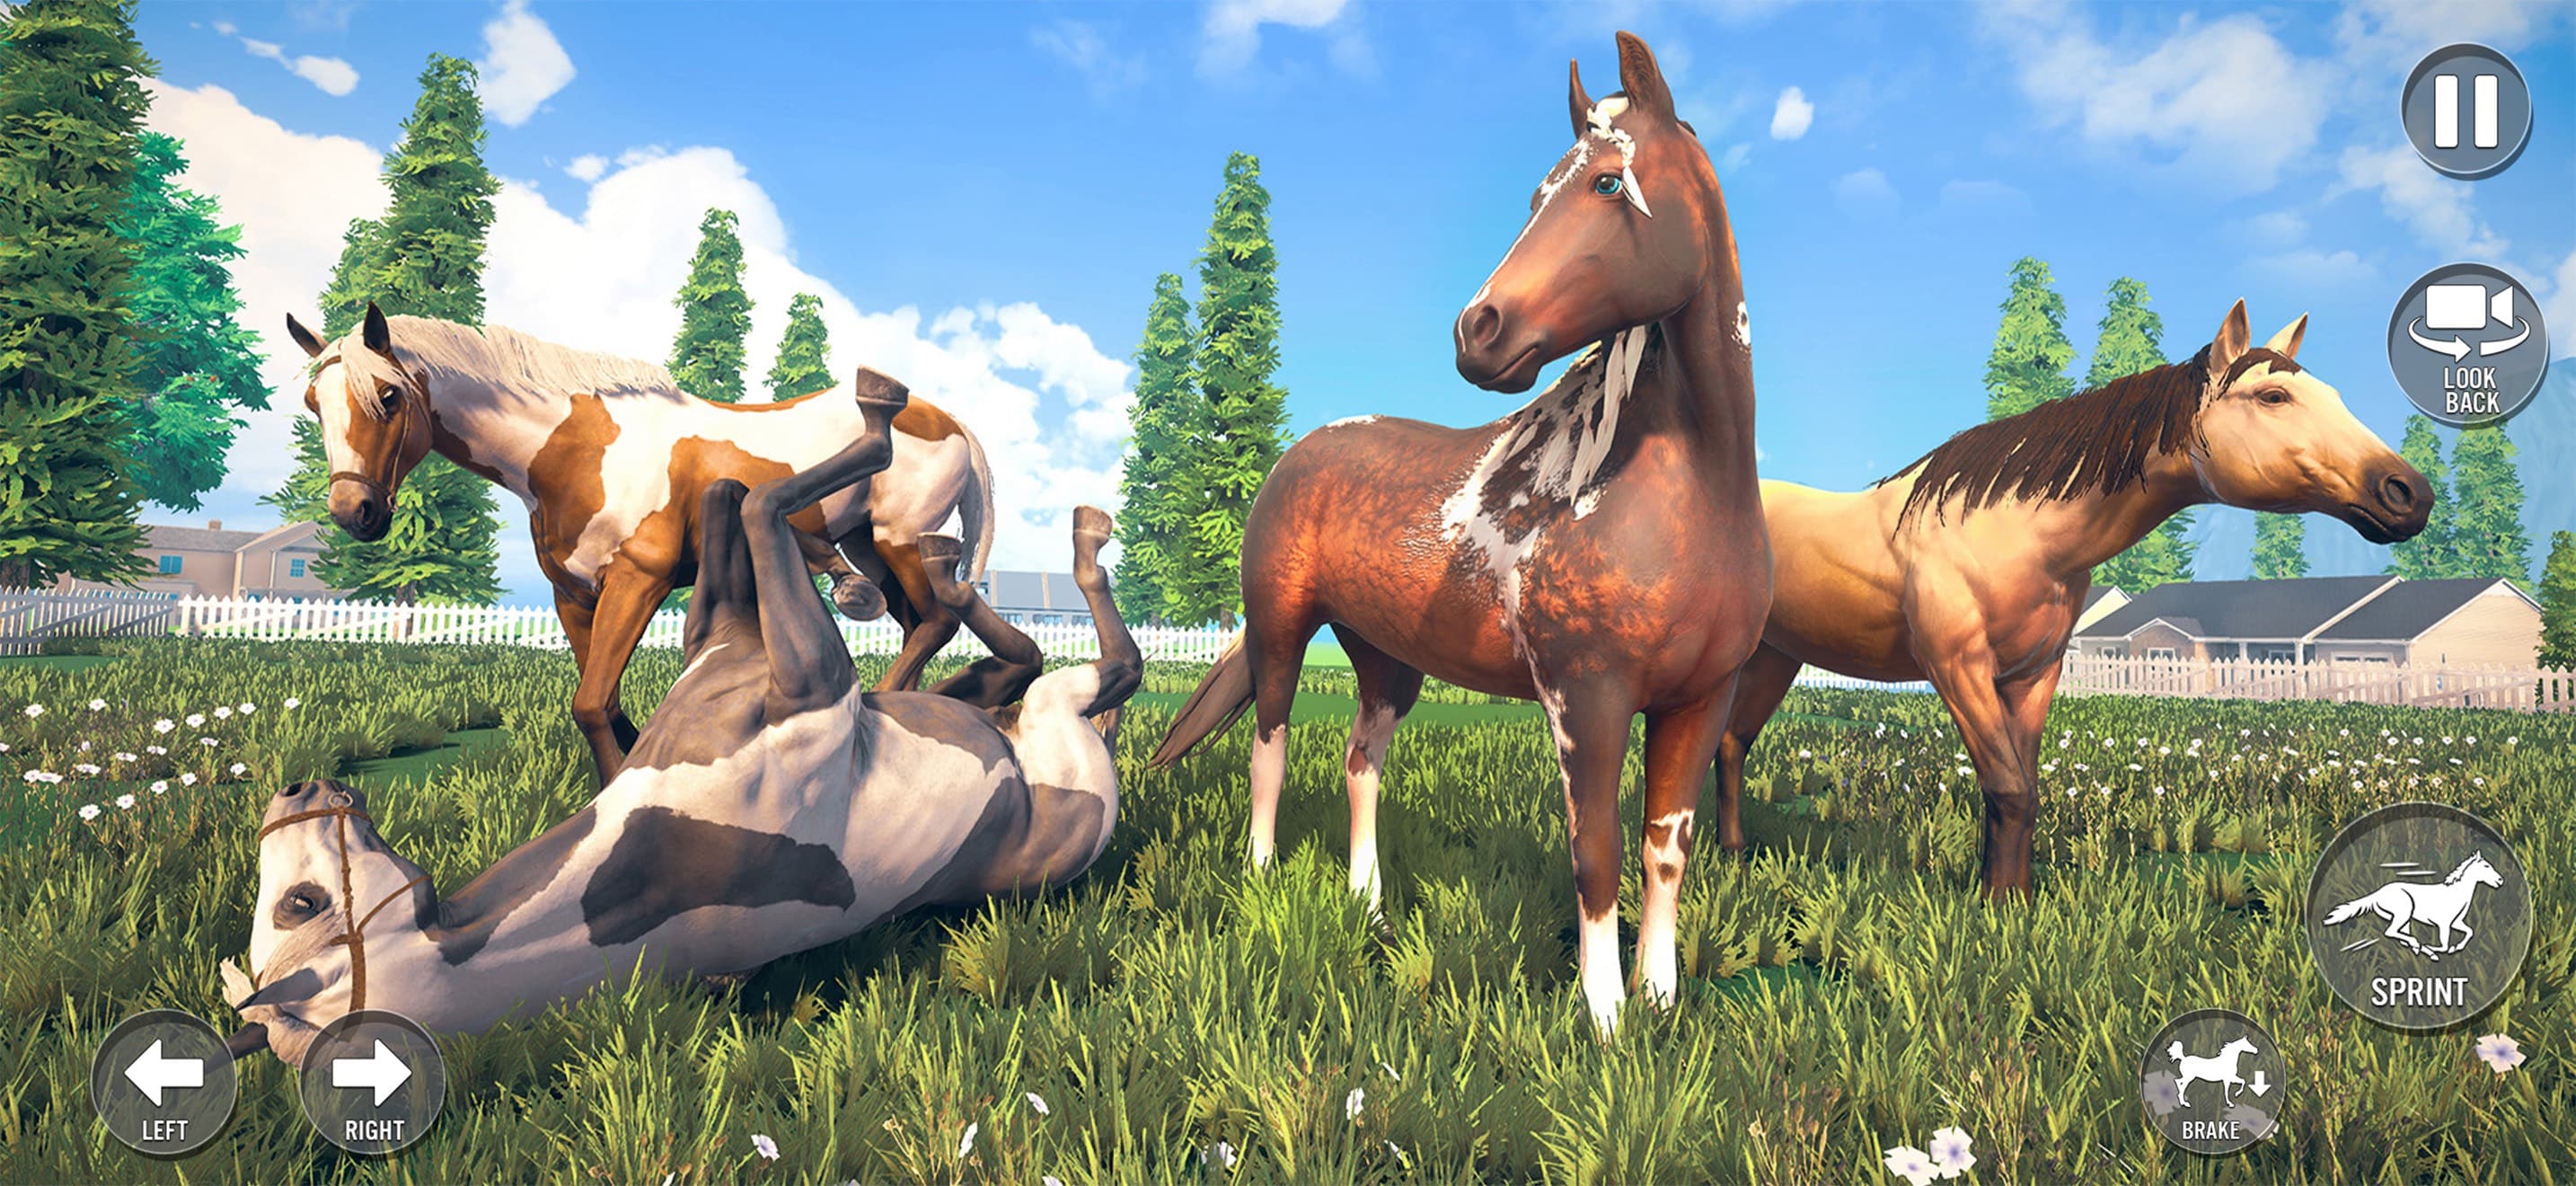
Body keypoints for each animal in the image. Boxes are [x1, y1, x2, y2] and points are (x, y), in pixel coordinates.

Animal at [219, 373, 1140, 1066]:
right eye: (300, 904)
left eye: (378, 396)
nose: (295, 791)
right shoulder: (807, 673)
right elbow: (756, 514)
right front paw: (861, 449)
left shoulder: (689, 605)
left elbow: (738, 505)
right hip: (1053, 718)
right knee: (1080, 664)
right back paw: (1049, 540)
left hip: (946, 625)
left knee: (972, 631)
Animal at [284, 304, 999, 785]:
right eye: (314, 402)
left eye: (388, 396)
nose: (355, 512)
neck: (578, 449)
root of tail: (945, 418)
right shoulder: (574, 594)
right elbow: (600, 699)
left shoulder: (639, 579)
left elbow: (590, 703)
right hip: (871, 545)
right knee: (914, 622)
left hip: (903, 541)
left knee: (937, 620)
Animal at [1150, 32, 1768, 1035]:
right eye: (1535, 195)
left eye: (1608, 183)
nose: (1479, 332)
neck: (1683, 493)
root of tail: (1299, 453)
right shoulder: (1586, 698)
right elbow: (1595, 851)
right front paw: (1605, 1021)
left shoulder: (1699, 700)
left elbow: (1664, 850)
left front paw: (1662, 1001)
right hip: (1282, 629)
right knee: (1269, 747)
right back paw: (1263, 879)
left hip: (1386, 657)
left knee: (1361, 763)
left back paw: (1369, 908)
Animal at [1711, 302, 2431, 897]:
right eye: (2273, 395)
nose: (2408, 494)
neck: (2012, 533)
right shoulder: (1958, 669)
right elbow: (2007, 788)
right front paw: (2001, 907)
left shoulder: (2031, 674)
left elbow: (2022, 790)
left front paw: (2012, 898)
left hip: (1777, 656)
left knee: (1733, 744)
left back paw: (1735, 851)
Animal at [2321, 850, 2504, 960]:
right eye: (2486, 866)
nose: (2500, 880)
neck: (2456, 892)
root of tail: (2377, 893)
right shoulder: (2444, 924)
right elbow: (2444, 945)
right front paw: (2439, 949)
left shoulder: (2456, 922)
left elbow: (2469, 932)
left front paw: (2456, 948)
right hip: (2403, 913)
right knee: (2391, 932)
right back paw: (2421, 947)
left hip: (2404, 919)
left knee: (2400, 937)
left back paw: (2420, 949)